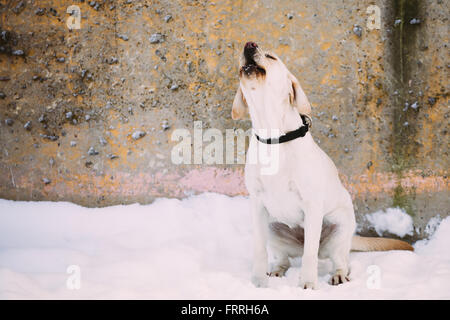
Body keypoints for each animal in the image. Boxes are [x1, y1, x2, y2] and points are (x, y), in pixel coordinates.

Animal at [234, 41, 414, 288]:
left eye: (271, 57)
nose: (248, 45)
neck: (274, 137)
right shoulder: (258, 205)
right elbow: (260, 251)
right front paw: (258, 284)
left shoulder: (311, 204)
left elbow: (309, 254)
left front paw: (307, 285)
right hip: (273, 228)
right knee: (284, 259)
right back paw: (277, 271)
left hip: (339, 229)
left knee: (339, 259)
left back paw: (338, 274)